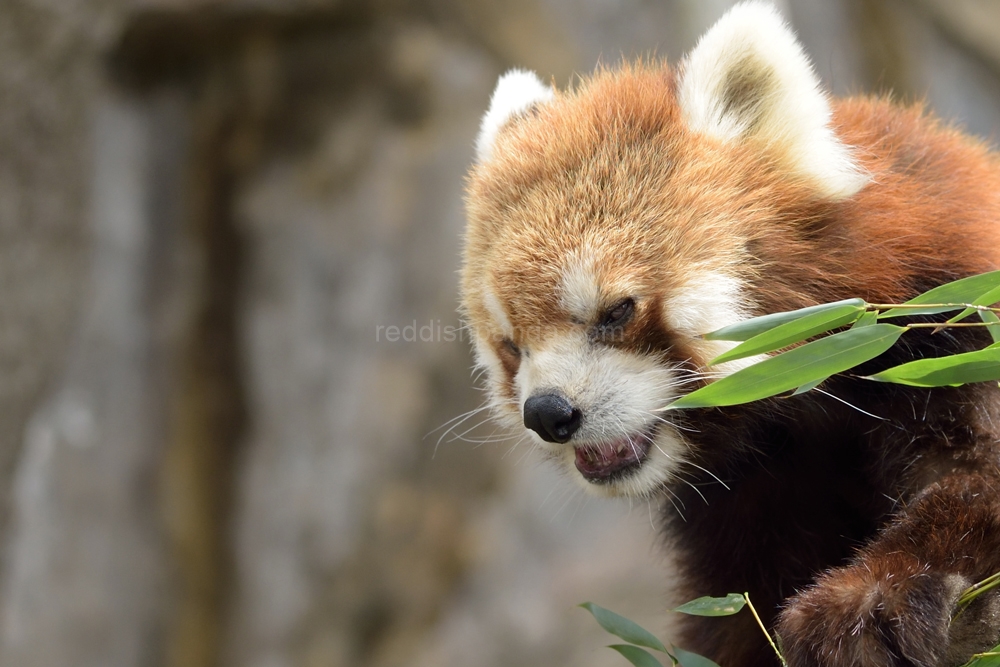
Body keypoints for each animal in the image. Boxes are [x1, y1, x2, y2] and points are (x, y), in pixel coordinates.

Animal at [458, 1, 1000, 667]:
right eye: (512, 346)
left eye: (616, 312)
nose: (548, 413)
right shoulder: (745, 500)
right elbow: (735, 608)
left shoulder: (954, 326)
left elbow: (972, 477)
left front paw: (870, 604)